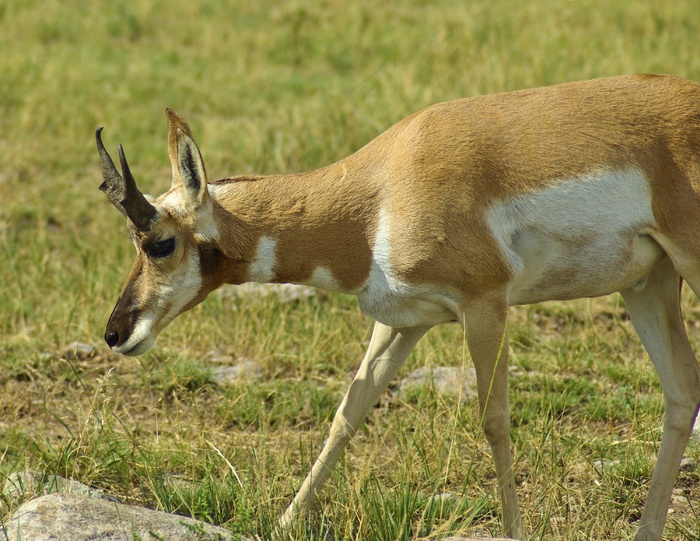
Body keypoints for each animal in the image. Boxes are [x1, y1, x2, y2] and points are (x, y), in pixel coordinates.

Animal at [97, 74, 700, 536]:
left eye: (159, 242)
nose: (115, 333)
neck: (379, 192)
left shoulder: (485, 305)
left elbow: (494, 419)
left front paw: (514, 530)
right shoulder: (402, 324)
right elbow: (347, 414)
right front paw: (285, 521)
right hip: (647, 286)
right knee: (681, 391)